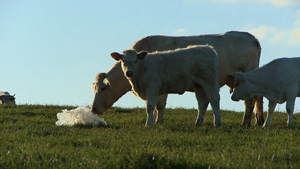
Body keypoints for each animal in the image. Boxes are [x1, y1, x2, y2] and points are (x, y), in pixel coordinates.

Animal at [90, 30, 264, 125]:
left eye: (104, 88)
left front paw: (157, 122)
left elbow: (159, 105)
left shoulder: (158, 86)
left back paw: (246, 122)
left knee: (250, 101)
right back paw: (257, 121)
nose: (93, 109)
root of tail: (251, 38)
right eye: (94, 88)